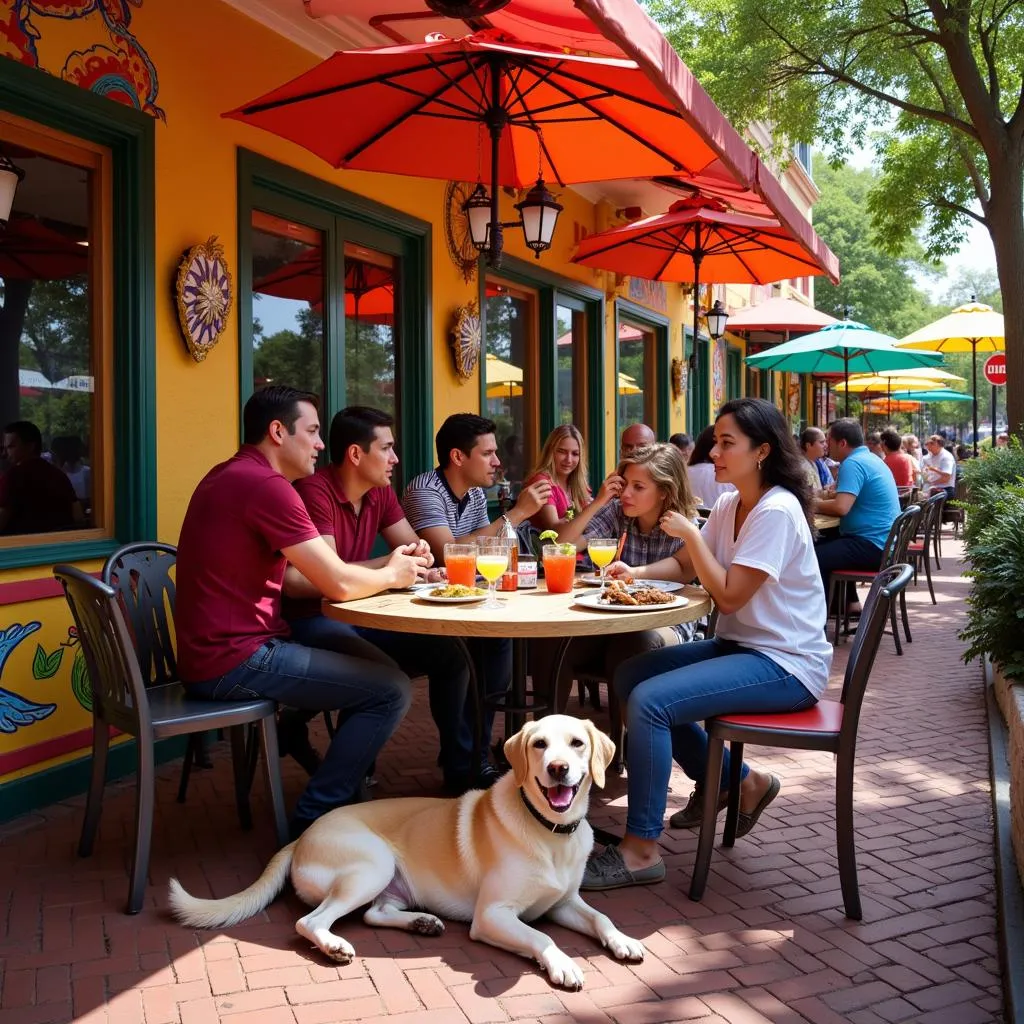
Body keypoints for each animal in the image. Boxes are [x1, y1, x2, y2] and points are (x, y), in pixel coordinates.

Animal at [171, 716, 643, 987]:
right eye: (539, 745)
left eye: (577, 743)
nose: (558, 769)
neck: (550, 833)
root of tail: (300, 837)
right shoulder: (493, 916)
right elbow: (541, 936)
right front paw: (562, 963)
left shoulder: (564, 902)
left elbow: (601, 917)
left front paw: (623, 940)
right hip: (373, 864)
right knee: (312, 920)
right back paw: (334, 945)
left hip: (390, 884)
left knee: (374, 914)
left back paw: (421, 923)